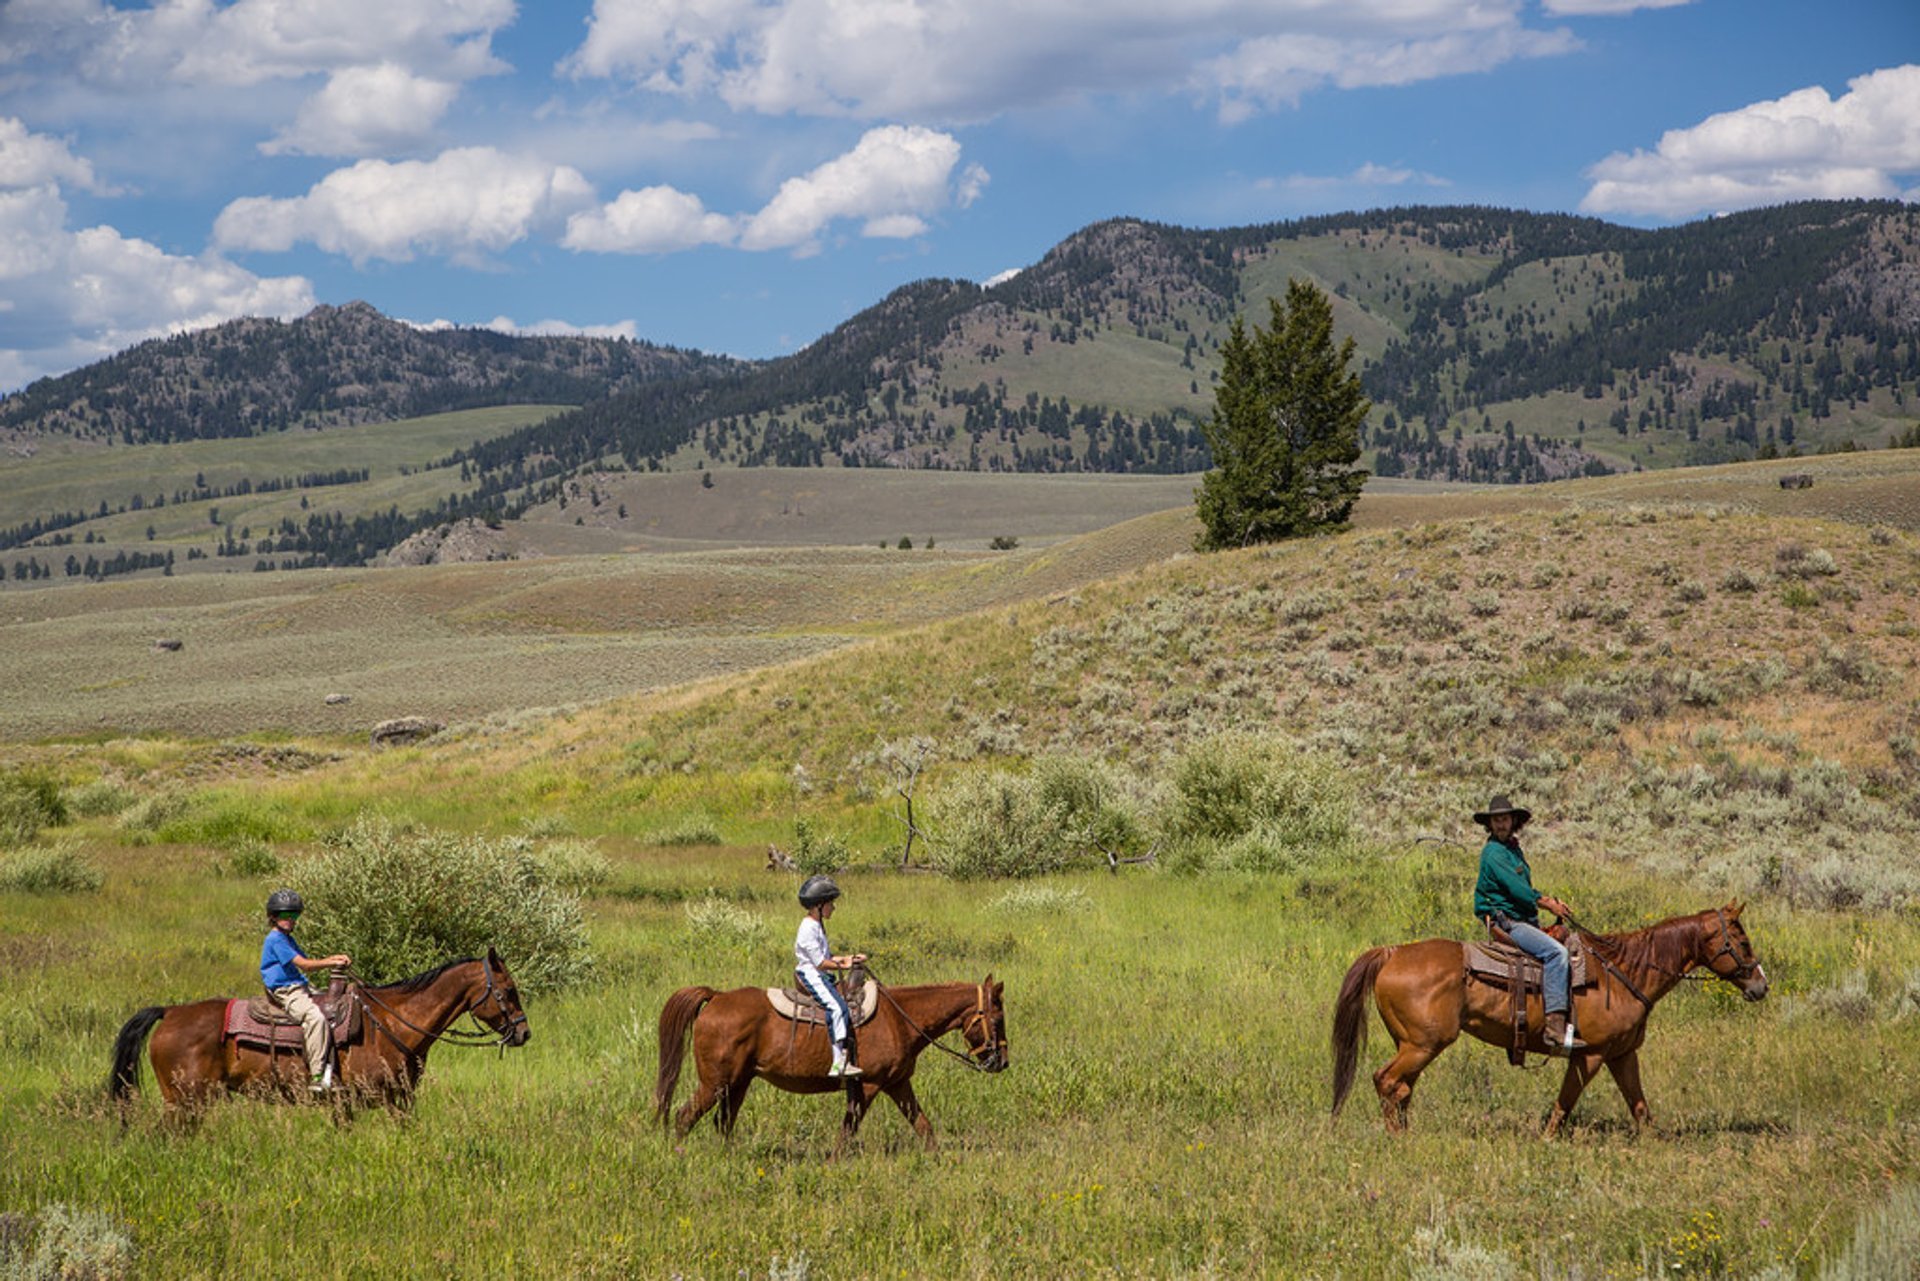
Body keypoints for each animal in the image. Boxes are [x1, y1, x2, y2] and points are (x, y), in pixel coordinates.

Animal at [111, 948, 533, 1113]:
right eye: (509, 990)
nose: (524, 1033)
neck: (390, 1024)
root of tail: (169, 1013)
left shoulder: (397, 1101)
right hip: (185, 1100)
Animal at [656, 975, 1013, 1160]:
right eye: (997, 1020)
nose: (1002, 1062)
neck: (900, 1019)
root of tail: (715, 997)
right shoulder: (869, 1085)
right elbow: (849, 1126)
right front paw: (835, 1161)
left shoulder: (897, 1084)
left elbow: (922, 1124)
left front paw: (937, 1158)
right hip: (715, 1082)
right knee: (685, 1116)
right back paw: (680, 1154)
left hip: (738, 1083)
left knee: (723, 1121)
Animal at [1336, 906, 1766, 1136]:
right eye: (1743, 942)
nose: (1761, 986)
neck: (1623, 973)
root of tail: (1392, 953)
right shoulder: (1589, 1055)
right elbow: (1565, 1101)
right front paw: (1545, 1139)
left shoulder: (1622, 1055)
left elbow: (1639, 1105)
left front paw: (1654, 1142)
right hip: (1423, 1045)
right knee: (1387, 1081)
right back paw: (1397, 1137)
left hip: (1414, 1045)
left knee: (1402, 1088)